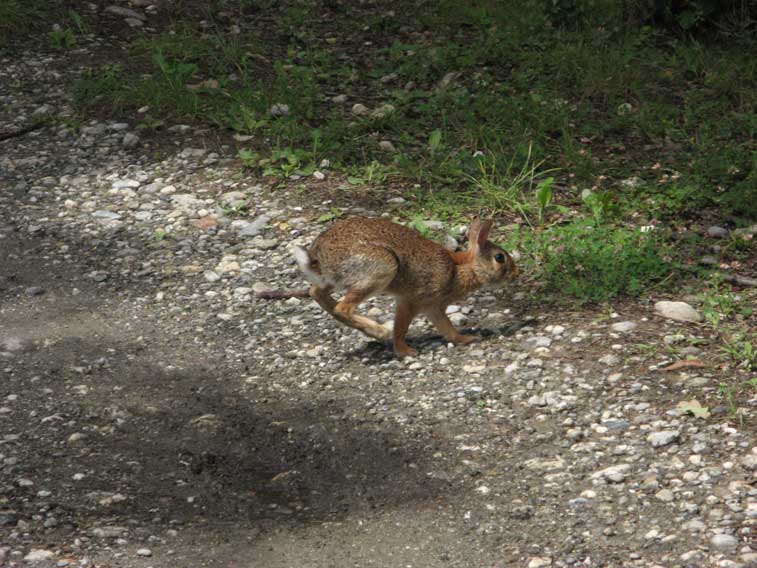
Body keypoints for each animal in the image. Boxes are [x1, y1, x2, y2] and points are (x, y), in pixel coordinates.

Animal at [292, 215, 516, 358]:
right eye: (500, 258)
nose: (516, 273)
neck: (460, 268)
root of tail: (317, 257)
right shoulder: (413, 301)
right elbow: (401, 328)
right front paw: (405, 352)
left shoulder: (433, 308)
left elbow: (446, 327)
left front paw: (465, 339)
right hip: (382, 268)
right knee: (342, 308)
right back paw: (380, 331)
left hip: (334, 280)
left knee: (316, 293)